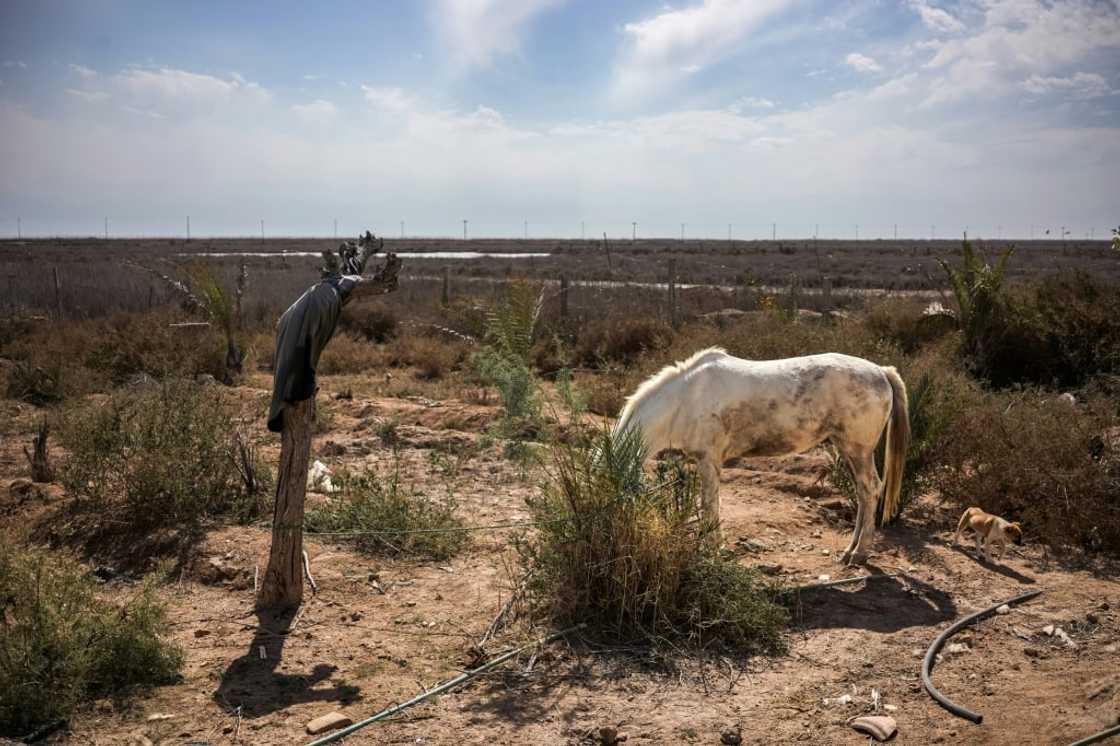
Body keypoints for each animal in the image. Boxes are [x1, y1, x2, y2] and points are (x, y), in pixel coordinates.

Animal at [613, 347, 909, 565]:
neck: (685, 399)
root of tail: (881, 372)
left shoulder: (709, 461)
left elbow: (709, 506)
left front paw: (713, 550)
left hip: (858, 449)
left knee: (870, 489)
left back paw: (859, 553)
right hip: (847, 449)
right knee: (862, 493)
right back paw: (850, 550)